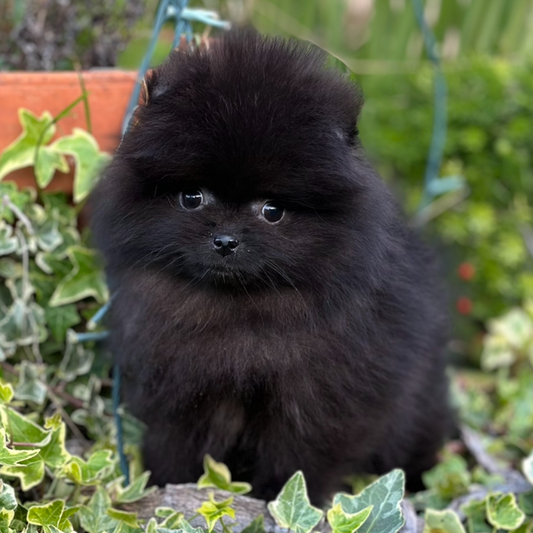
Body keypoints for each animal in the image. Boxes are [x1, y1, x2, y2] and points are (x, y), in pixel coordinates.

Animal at [91, 30, 448, 502]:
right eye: (192, 197)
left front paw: (284, 503)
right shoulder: (179, 393)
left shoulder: (316, 406)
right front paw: (169, 489)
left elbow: (297, 463)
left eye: (272, 211)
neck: (238, 314)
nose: (226, 240)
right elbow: (176, 448)